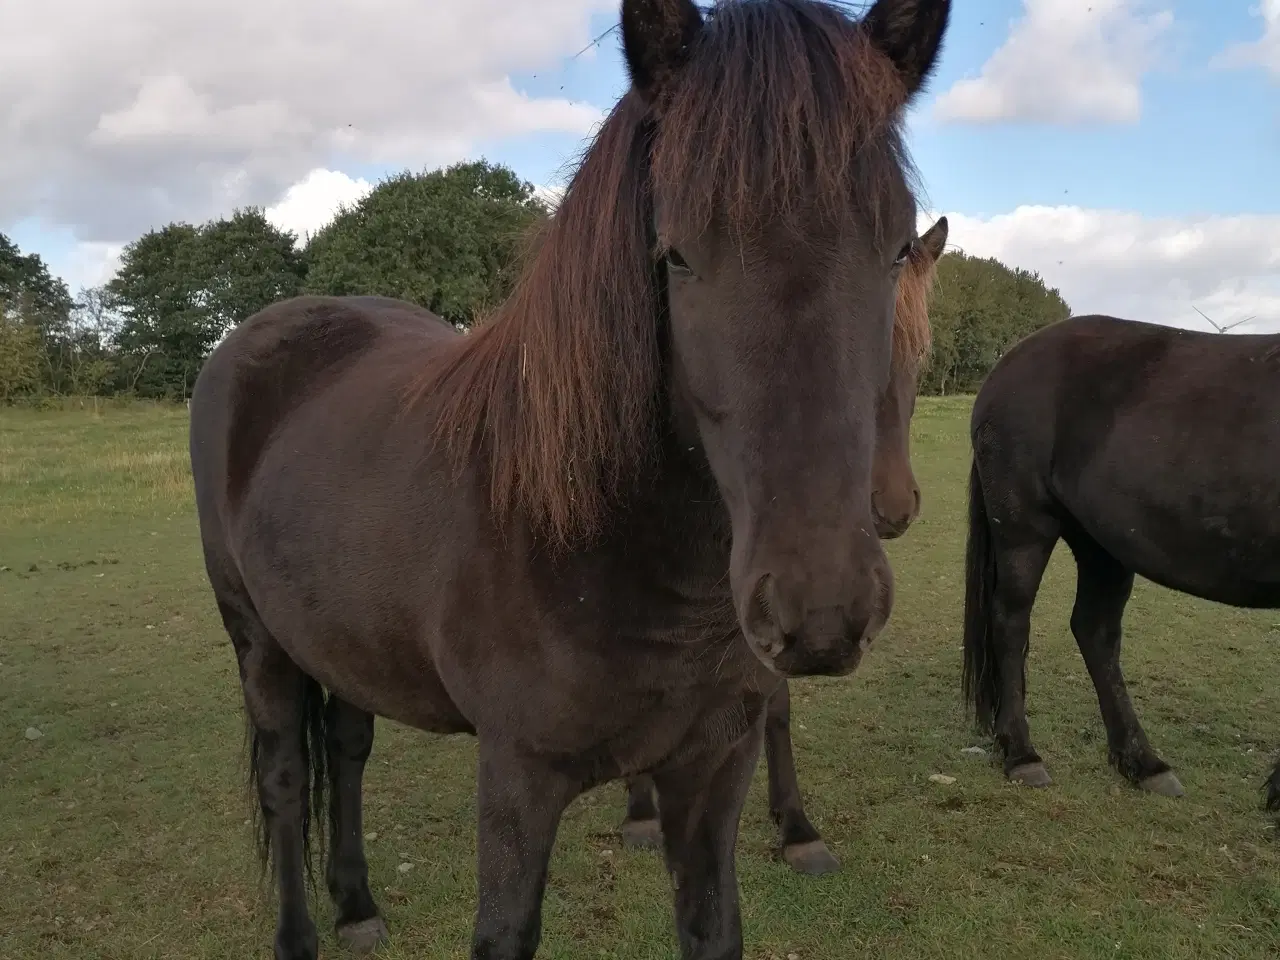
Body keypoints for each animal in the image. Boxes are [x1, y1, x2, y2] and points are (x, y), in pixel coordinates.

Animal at [962, 316, 1280, 814]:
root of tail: (1010, 361)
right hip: (1023, 529)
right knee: (1011, 623)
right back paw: (1021, 753)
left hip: (1103, 545)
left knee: (1095, 632)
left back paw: (1142, 762)